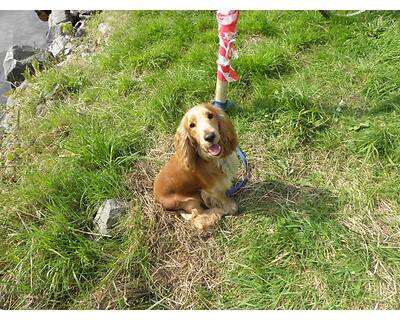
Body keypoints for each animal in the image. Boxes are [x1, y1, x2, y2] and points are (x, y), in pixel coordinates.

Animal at [154, 102, 241, 230]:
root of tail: (158, 200)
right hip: (190, 201)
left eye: (210, 115)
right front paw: (230, 207)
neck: (210, 158)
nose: (210, 136)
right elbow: (222, 197)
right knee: (198, 216)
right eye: (192, 125)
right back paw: (216, 211)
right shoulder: (212, 188)